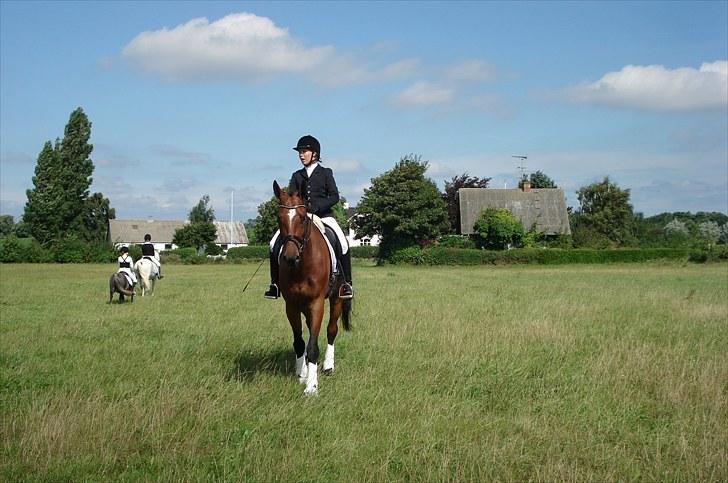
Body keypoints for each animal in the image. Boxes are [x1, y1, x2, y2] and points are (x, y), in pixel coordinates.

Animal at [272, 182, 352, 398]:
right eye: (279, 218)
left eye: (301, 217)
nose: (290, 258)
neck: (302, 265)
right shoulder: (291, 305)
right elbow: (300, 342)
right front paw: (302, 375)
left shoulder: (316, 303)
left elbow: (314, 345)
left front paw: (311, 387)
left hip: (337, 298)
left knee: (331, 330)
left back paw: (328, 366)